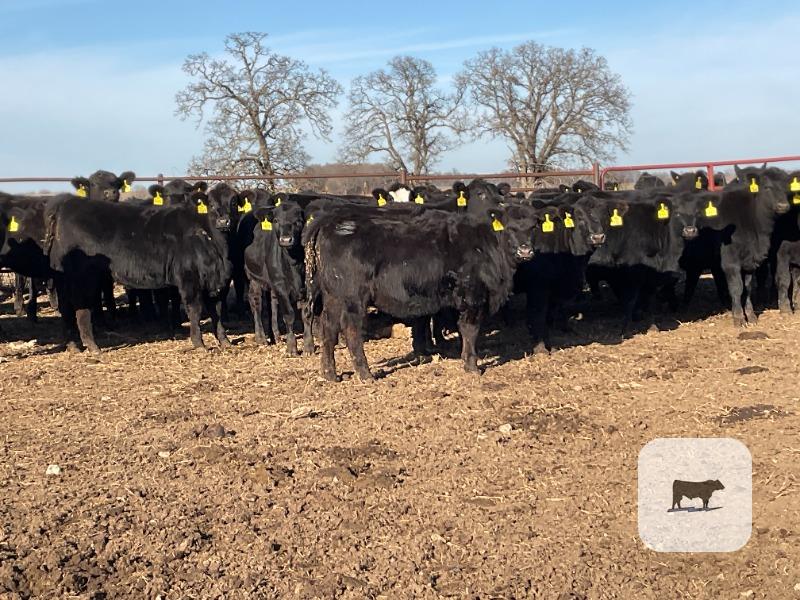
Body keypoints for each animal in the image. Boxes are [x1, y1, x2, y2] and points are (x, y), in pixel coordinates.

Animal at [44, 189, 231, 352]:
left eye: (233, 201)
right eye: (211, 204)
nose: (224, 221)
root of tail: (67, 202)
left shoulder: (214, 282)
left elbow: (217, 311)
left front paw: (225, 341)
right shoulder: (189, 279)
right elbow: (195, 310)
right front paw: (199, 344)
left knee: (67, 309)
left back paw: (74, 345)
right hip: (81, 278)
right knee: (80, 308)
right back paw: (92, 346)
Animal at [303, 205, 539, 381]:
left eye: (533, 226)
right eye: (509, 227)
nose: (525, 251)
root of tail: (330, 221)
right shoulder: (473, 295)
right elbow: (470, 330)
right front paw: (472, 365)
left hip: (333, 296)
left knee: (328, 328)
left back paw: (330, 374)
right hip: (353, 297)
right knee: (351, 330)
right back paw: (365, 373)